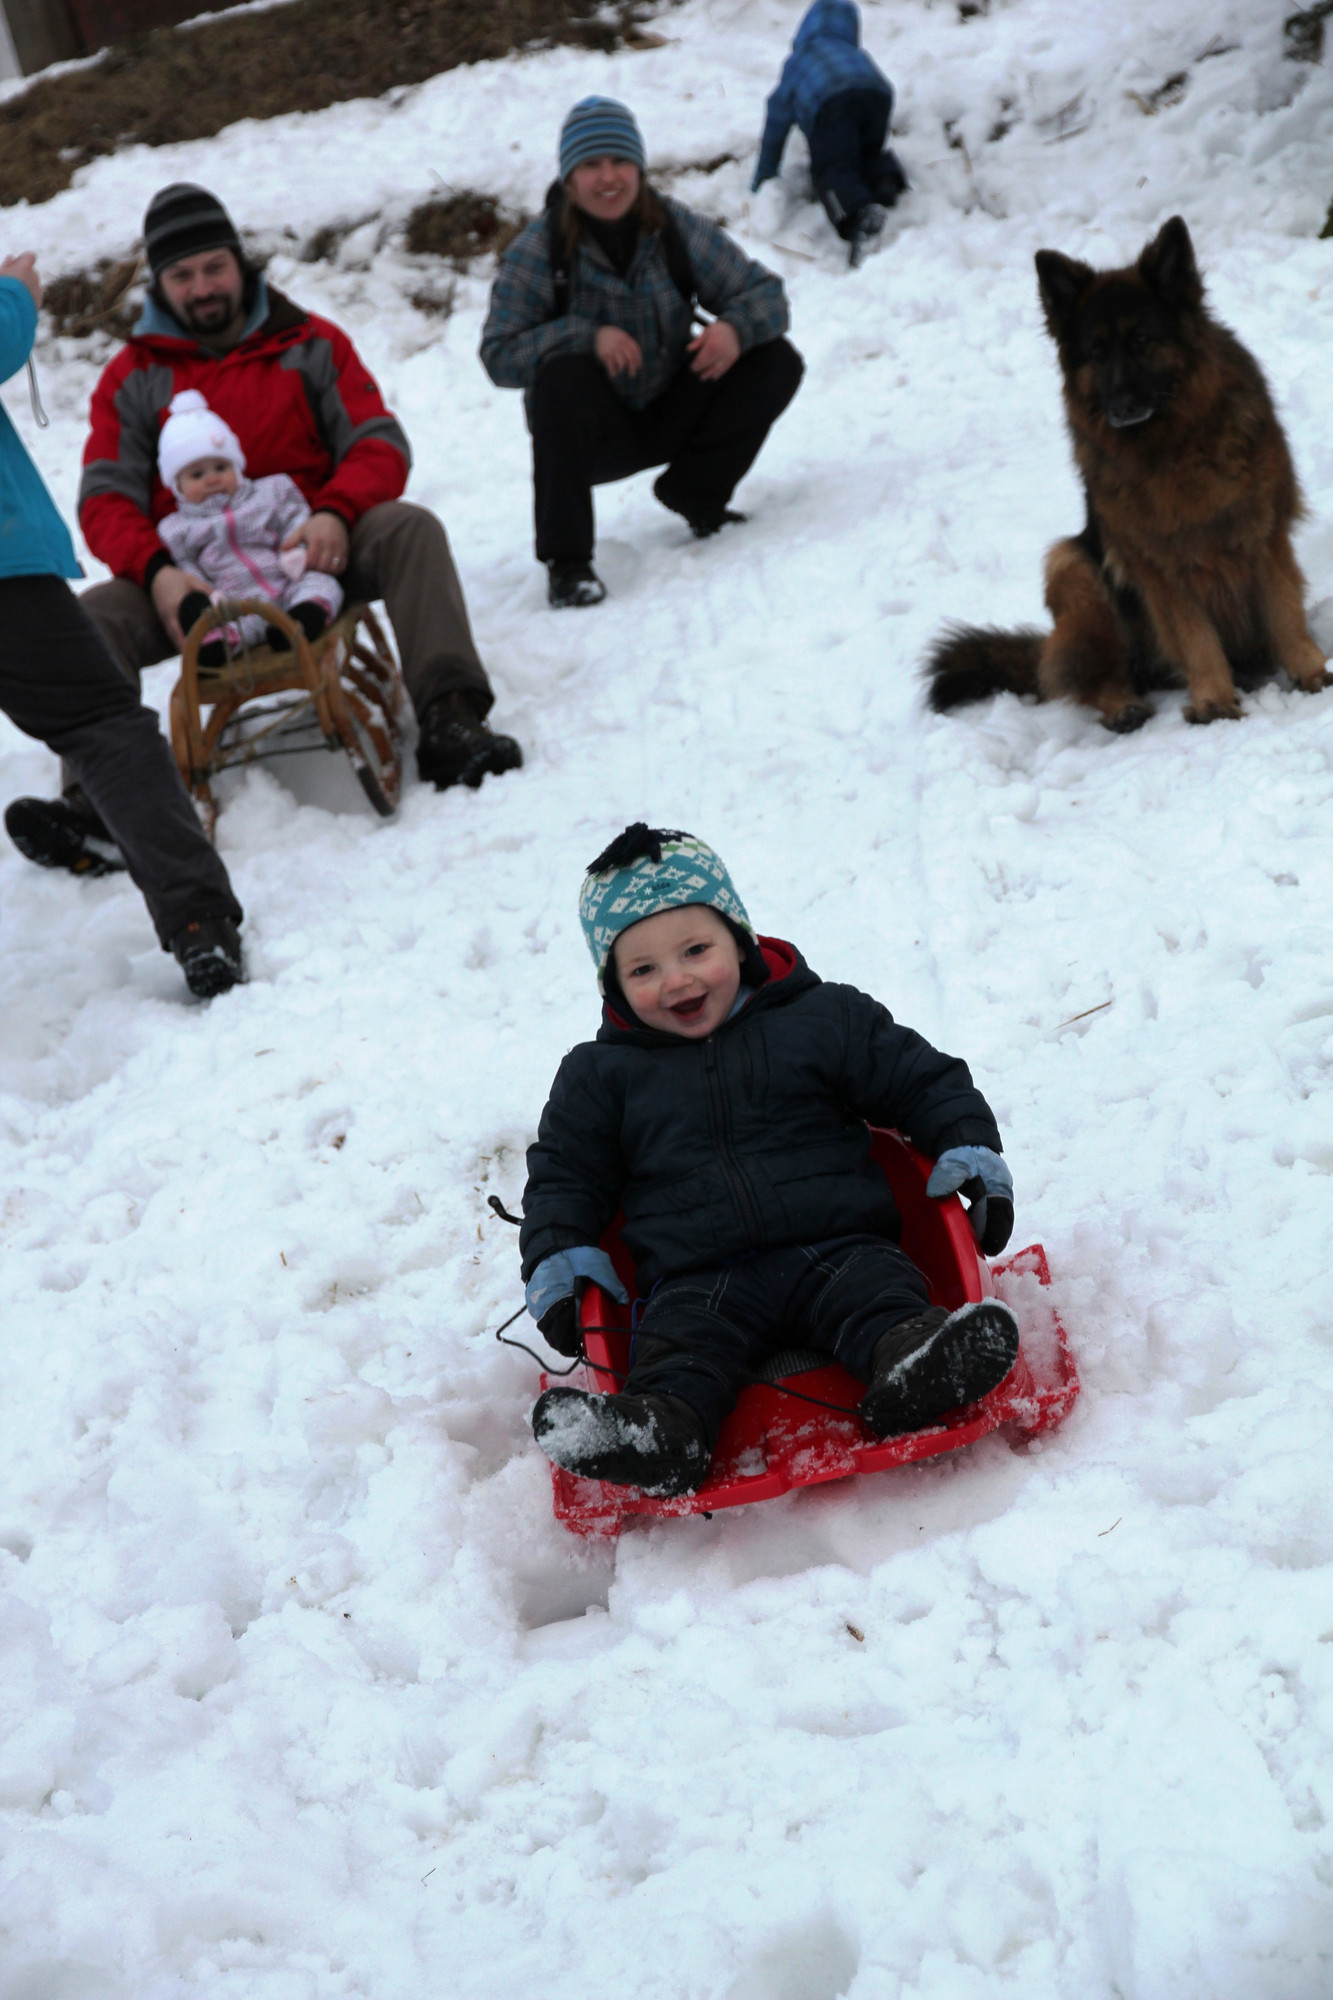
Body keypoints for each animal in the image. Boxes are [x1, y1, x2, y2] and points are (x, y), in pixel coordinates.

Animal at [924, 216, 1328, 731]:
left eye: (1141, 341)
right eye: (1096, 352)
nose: (1120, 408)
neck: (1173, 446)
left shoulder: (1263, 532)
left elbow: (1285, 612)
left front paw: (1312, 671)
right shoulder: (1160, 565)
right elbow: (1195, 637)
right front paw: (1214, 700)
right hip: (1073, 570)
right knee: (1092, 674)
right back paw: (1123, 706)